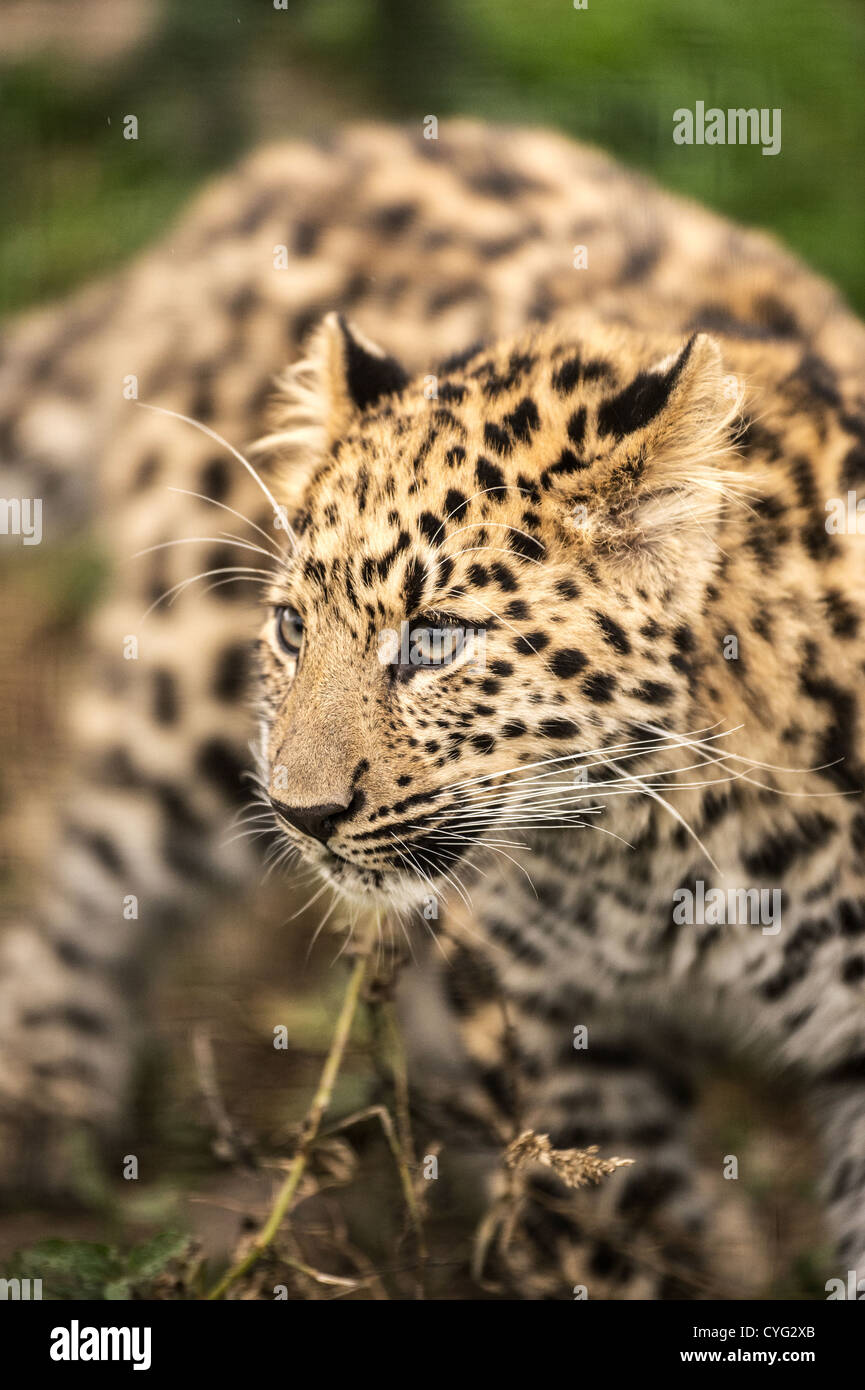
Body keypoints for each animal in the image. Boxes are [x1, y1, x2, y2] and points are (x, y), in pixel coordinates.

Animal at [1, 120, 865, 1299]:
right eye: (292, 626)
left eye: (434, 640)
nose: (303, 814)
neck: (662, 847)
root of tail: (299, 157)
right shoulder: (559, 1024)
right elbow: (608, 1235)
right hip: (176, 722)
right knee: (86, 875)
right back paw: (45, 1109)